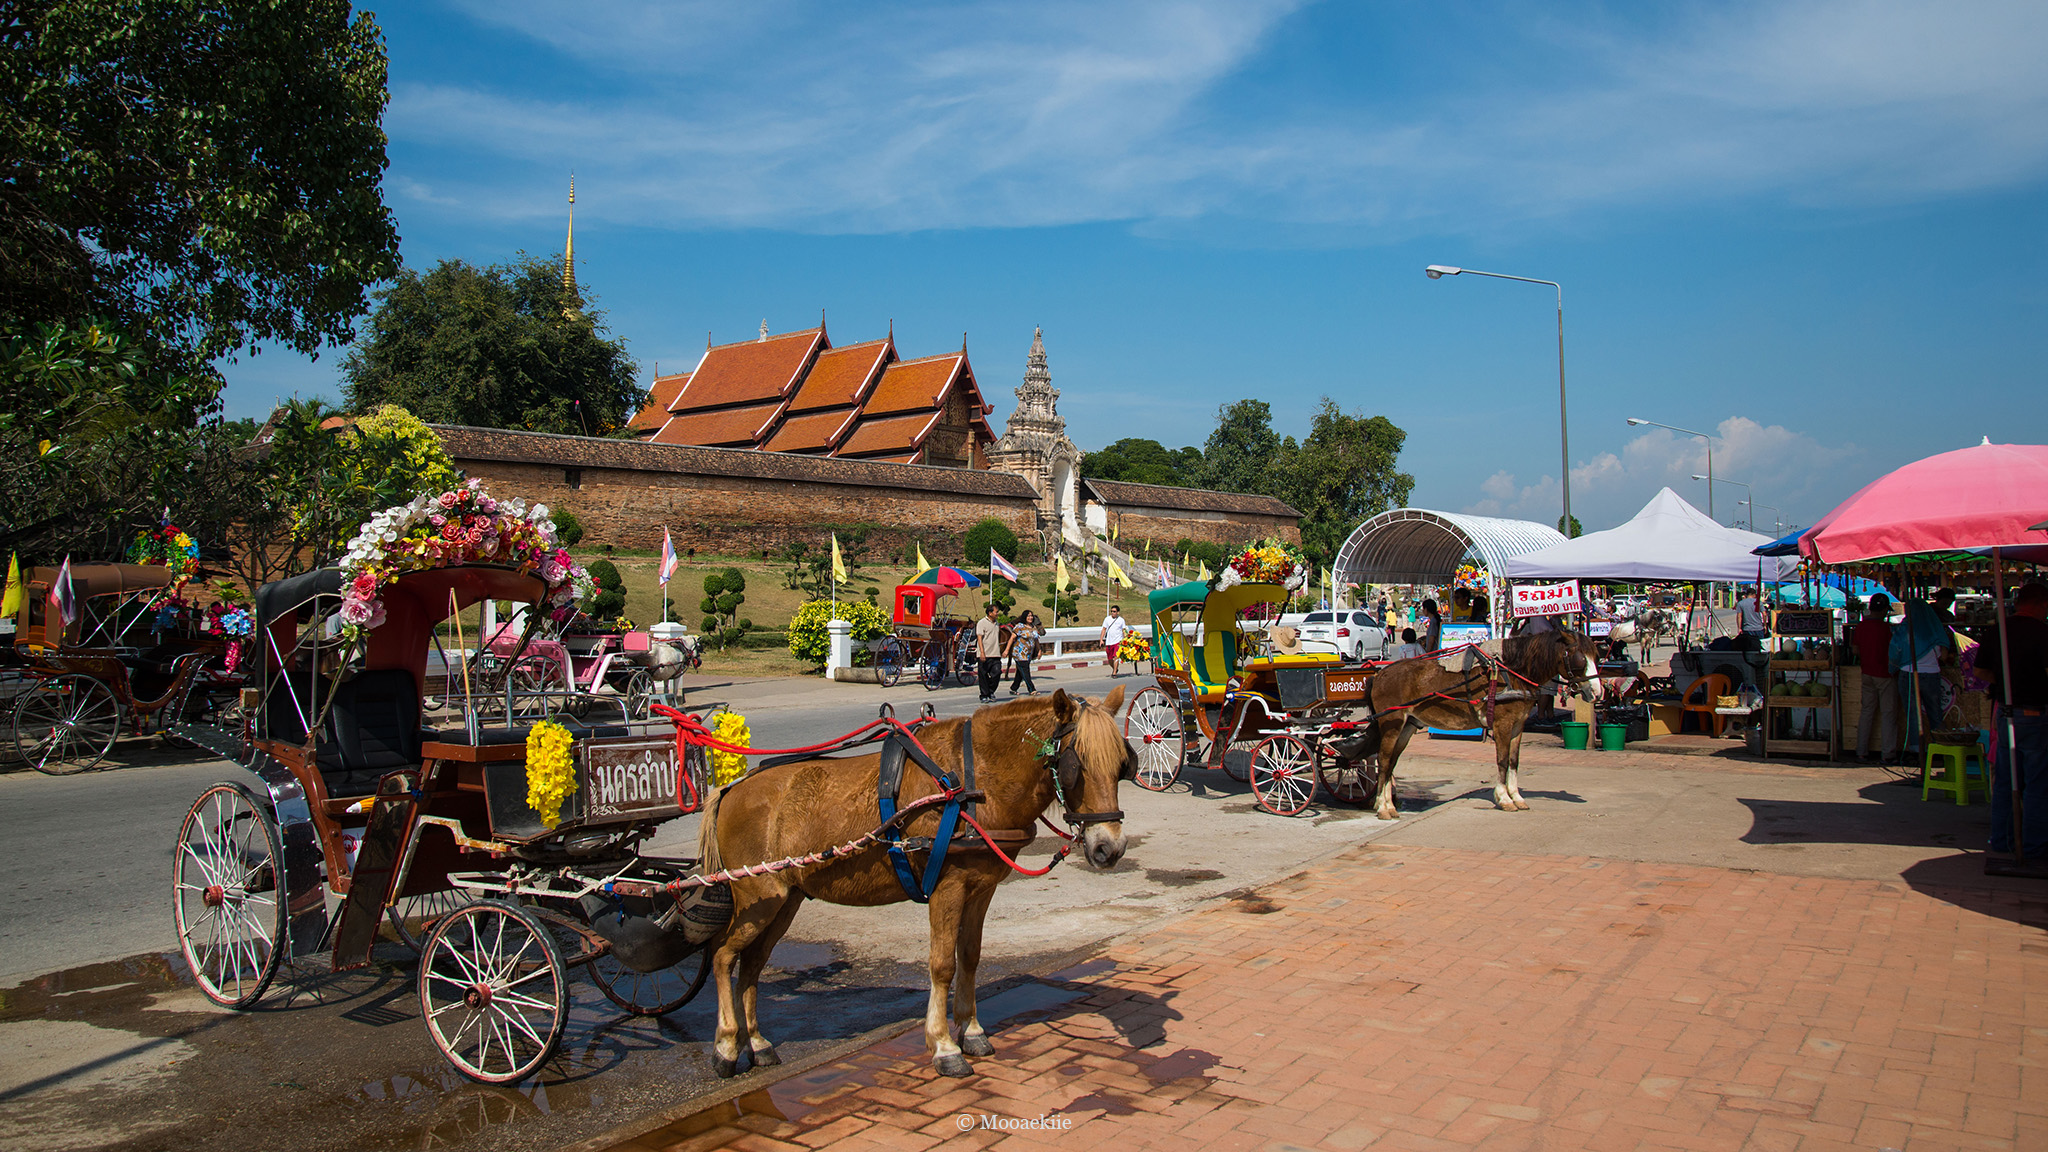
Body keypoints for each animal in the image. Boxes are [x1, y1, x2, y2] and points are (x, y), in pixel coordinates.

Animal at [696, 684, 1130, 1074]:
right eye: (1076, 766)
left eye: (1122, 766)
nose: (1110, 848)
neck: (974, 780)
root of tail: (732, 789)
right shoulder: (947, 887)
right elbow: (942, 964)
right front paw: (943, 1045)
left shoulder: (981, 889)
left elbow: (970, 957)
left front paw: (971, 1030)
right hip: (758, 894)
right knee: (723, 956)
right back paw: (726, 1045)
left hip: (786, 898)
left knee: (752, 963)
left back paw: (757, 1043)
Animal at [1335, 627, 1605, 815]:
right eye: (1580, 659)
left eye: (1597, 656)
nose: (1597, 692)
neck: (1511, 671)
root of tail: (1380, 674)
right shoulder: (1503, 724)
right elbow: (1502, 760)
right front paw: (1504, 799)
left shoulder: (1518, 726)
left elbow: (1514, 762)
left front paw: (1517, 797)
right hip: (1391, 723)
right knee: (1383, 760)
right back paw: (1382, 807)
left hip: (1407, 726)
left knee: (1390, 762)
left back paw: (1389, 804)